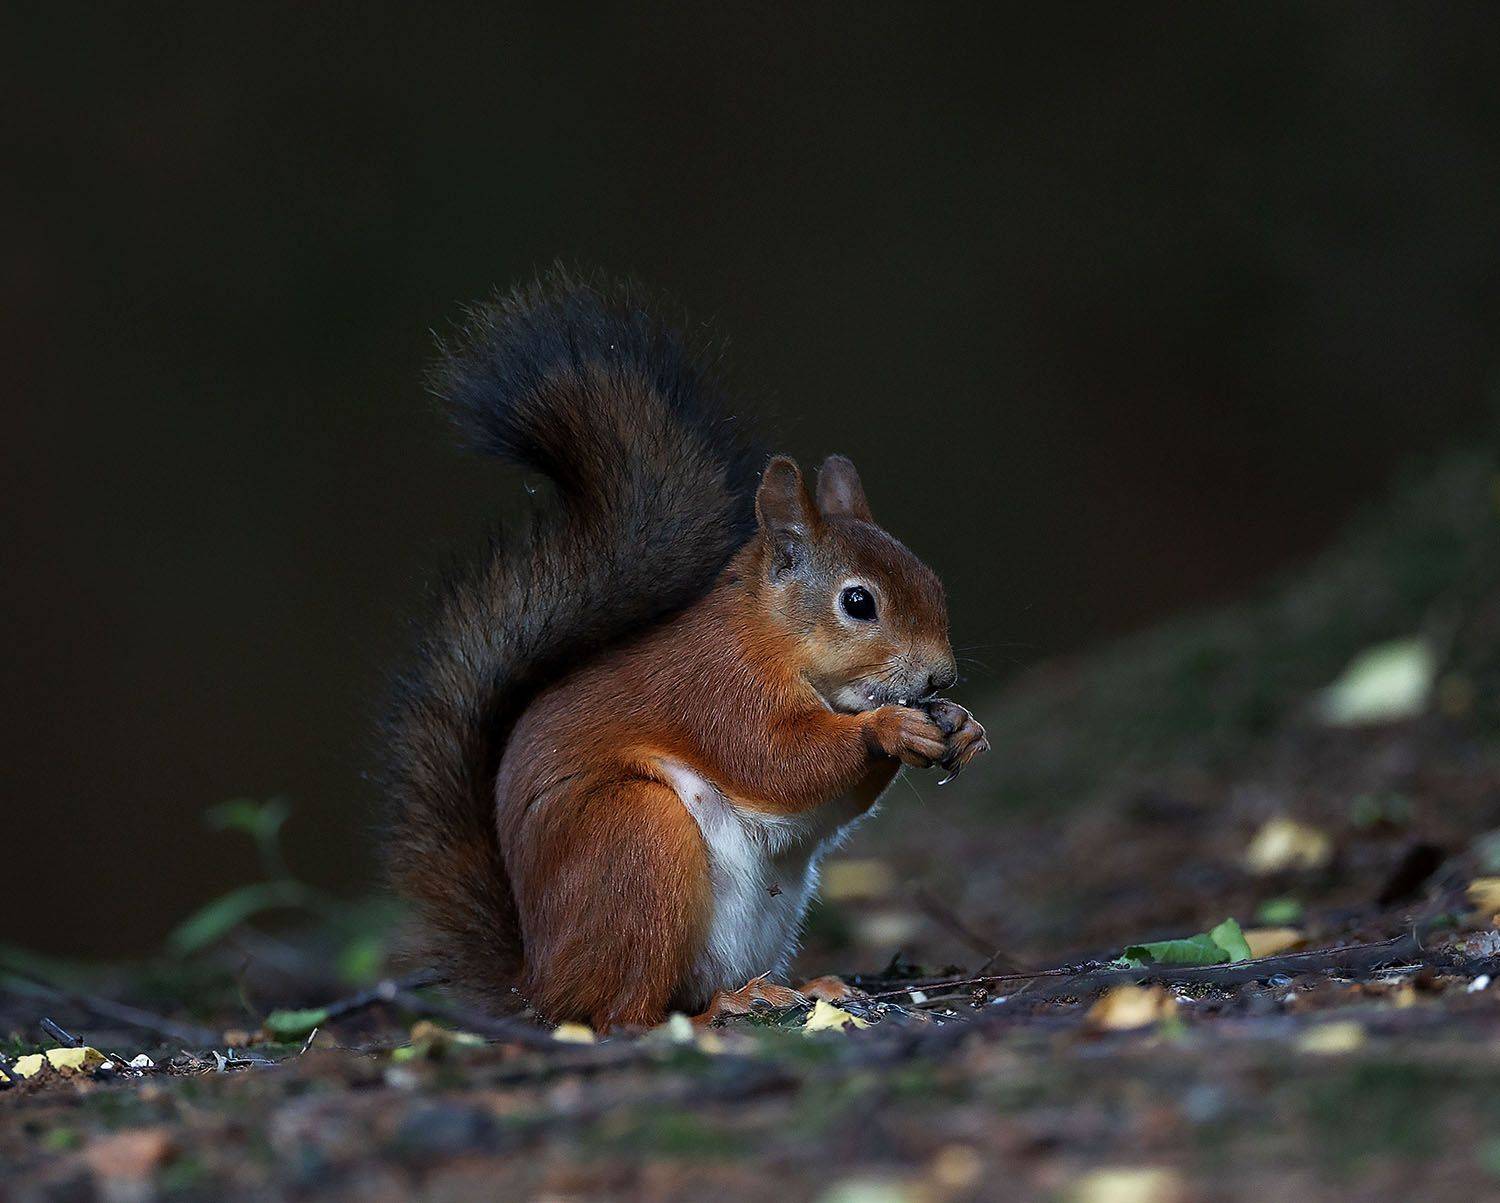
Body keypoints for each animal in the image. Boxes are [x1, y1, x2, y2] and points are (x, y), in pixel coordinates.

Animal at [384, 272, 988, 1031]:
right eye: (858, 603)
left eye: (933, 582)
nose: (942, 675)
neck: (771, 637)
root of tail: (537, 984)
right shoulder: (716, 689)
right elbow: (778, 759)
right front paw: (889, 726)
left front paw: (962, 725)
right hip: (636, 840)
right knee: (625, 1014)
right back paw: (717, 1011)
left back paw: (791, 986)